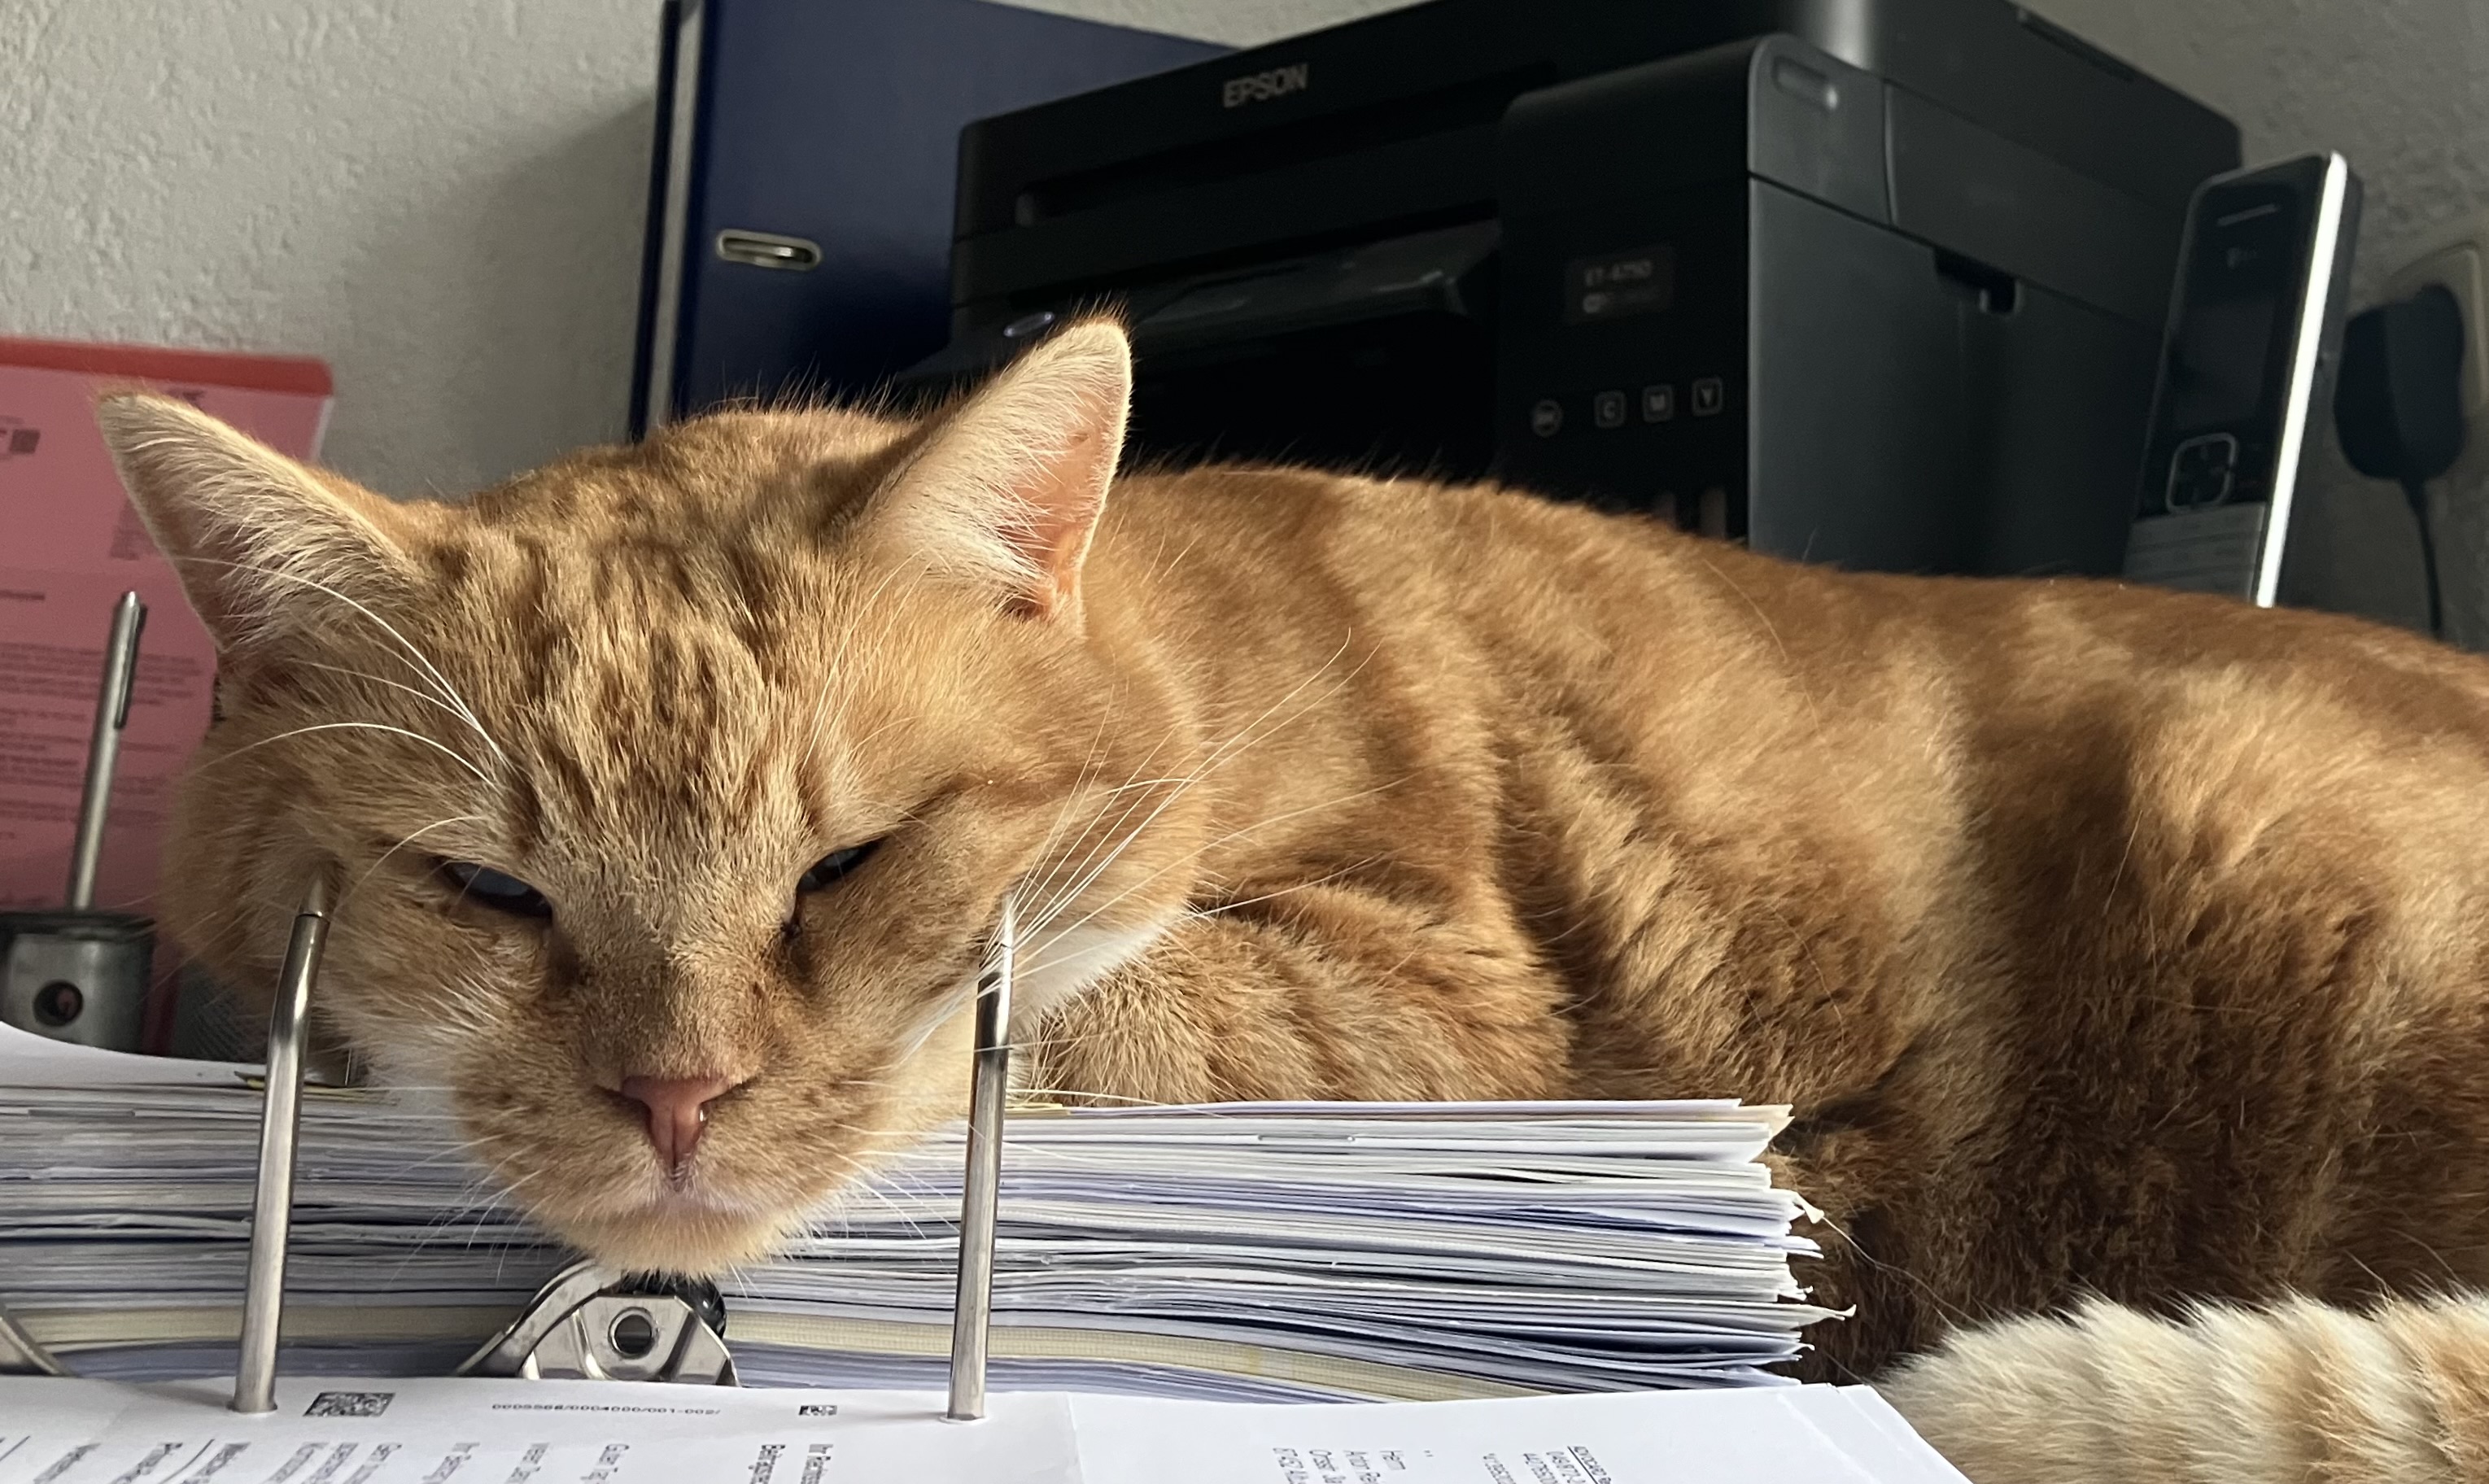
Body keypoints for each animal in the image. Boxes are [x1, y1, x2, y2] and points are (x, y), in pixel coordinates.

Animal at [95, 320, 2489, 1482]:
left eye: (855, 862)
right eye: (483, 885)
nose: (675, 1100)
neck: (1176, 658)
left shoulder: (1455, 1000)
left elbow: (1096, 1007)